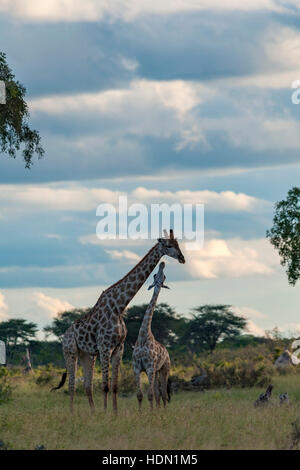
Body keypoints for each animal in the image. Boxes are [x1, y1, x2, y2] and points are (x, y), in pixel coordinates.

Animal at [133, 262, 172, 410]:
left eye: (164, 277)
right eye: (155, 275)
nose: (162, 263)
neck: (143, 336)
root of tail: (167, 351)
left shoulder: (150, 367)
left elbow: (149, 395)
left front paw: (150, 413)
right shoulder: (137, 368)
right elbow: (140, 395)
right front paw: (141, 413)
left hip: (164, 369)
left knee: (163, 393)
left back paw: (164, 411)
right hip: (156, 371)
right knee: (158, 393)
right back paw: (158, 410)